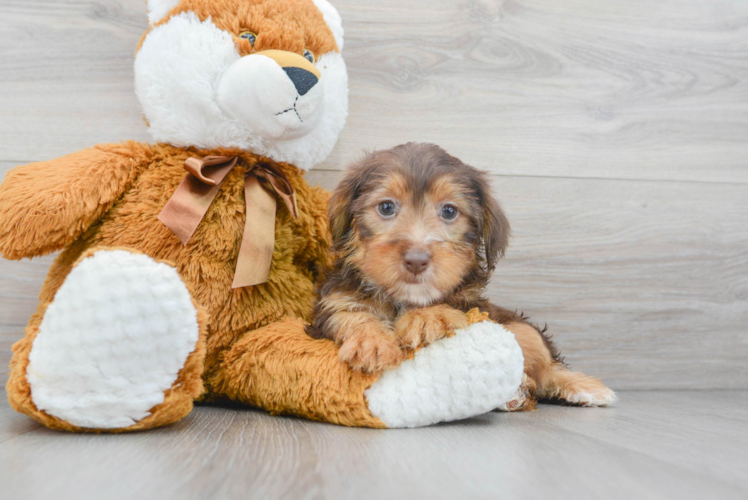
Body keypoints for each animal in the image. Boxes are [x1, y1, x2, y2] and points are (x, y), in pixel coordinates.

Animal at [306, 143, 616, 408]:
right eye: (386, 207)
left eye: (449, 211)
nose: (416, 260)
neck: (403, 299)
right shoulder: (333, 301)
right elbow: (348, 313)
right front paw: (371, 342)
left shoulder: (472, 304)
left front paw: (428, 316)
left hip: (518, 327)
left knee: (544, 367)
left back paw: (578, 387)